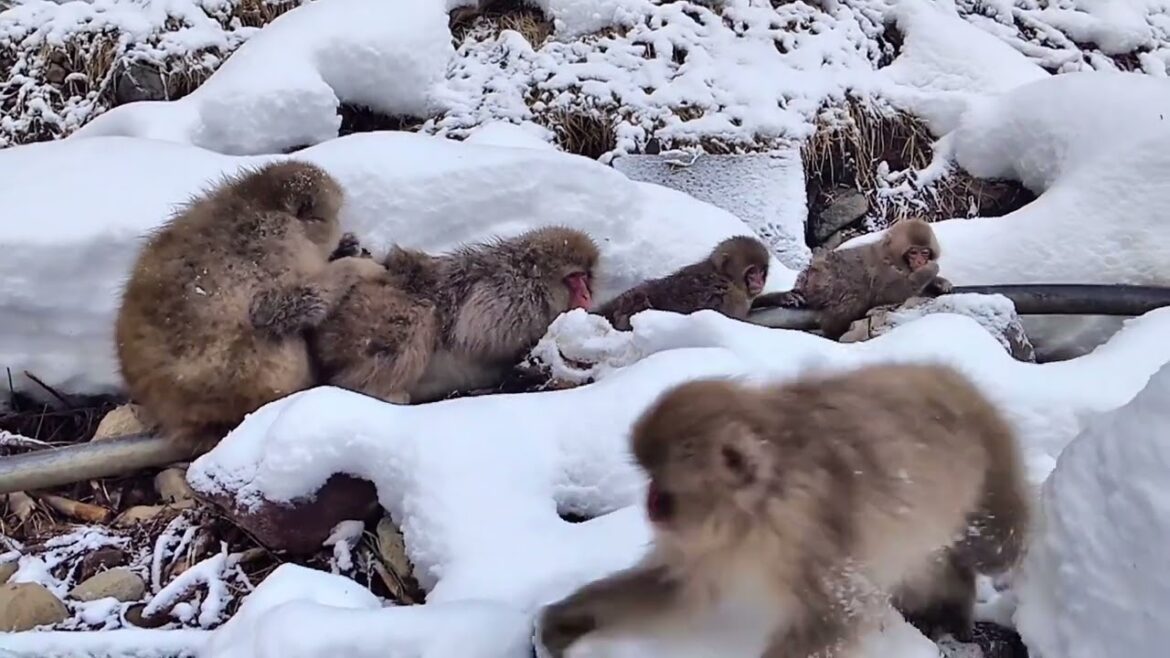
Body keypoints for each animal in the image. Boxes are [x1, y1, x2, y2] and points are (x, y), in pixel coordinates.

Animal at [308, 226, 599, 405]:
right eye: (574, 278)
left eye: (585, 278)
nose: (586, 295)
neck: (536, 281)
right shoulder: (513, 295)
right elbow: (476, 333)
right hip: (367, 315)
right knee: (418, 319)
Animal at [537, 363, 1031, 658]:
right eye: (651, 488)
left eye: (663, 496)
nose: (651, 509)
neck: (764, 504)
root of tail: (954, 376)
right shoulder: (716, 544)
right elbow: (676, 589)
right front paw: (569, 619)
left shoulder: (815, 529)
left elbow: (834, 617)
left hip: (994, 465)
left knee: (992, 547)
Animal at [752, 219, 953, 339]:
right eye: (913, 252)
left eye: (924, 252)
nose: (920, 261)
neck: (893, 257)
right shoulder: (883, 270)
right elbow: (892, 292)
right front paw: (931, 270)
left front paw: (940, 282)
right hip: (820, 284)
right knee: (855, 292)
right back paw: (835, 330)